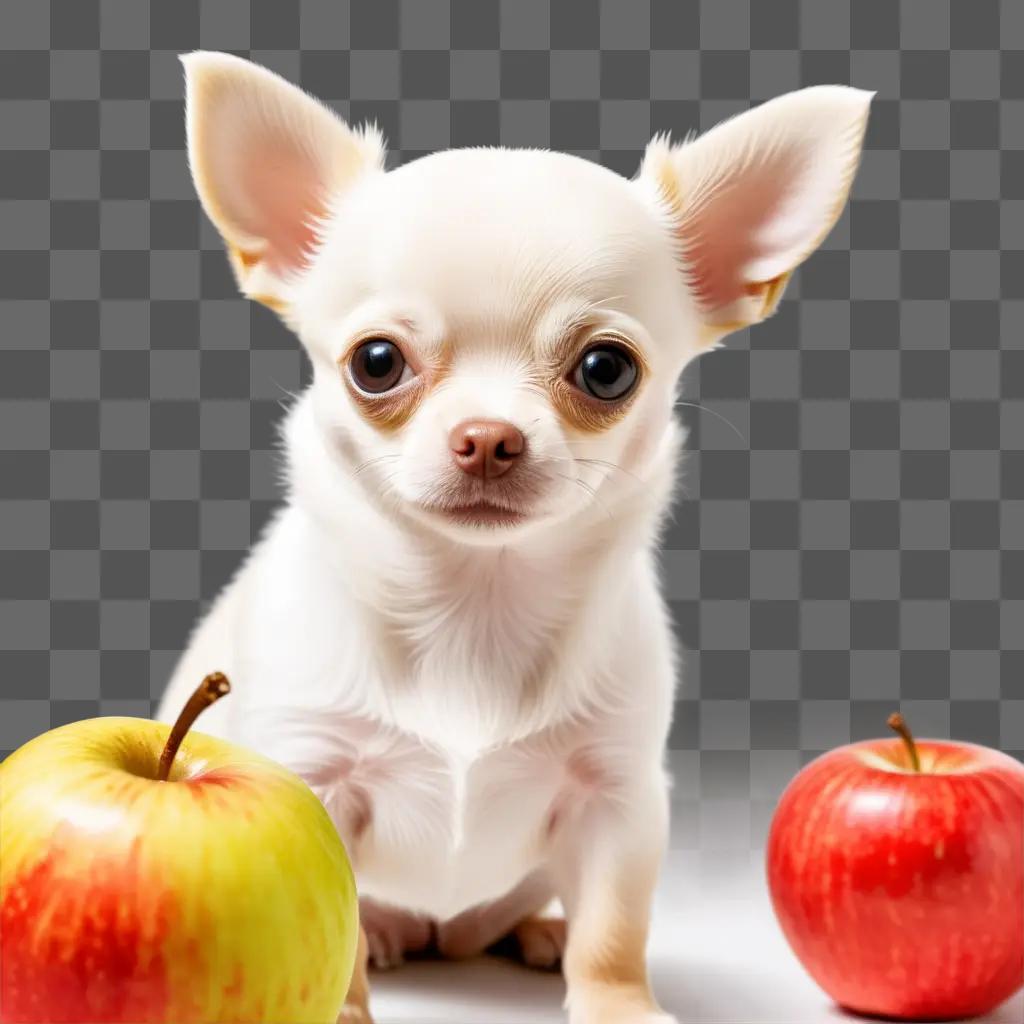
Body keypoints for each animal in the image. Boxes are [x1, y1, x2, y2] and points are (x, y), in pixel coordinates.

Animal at [159, 56, 872, 1024]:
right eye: (375, 363)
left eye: (606, 370)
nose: (489, 437)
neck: (475, 600)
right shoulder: (314, 776)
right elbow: (330, 917)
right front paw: (341, 1007)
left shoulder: (620, 802)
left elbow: (614, 927)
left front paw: (618, 1005)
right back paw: (389, 938)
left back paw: (538, 934)